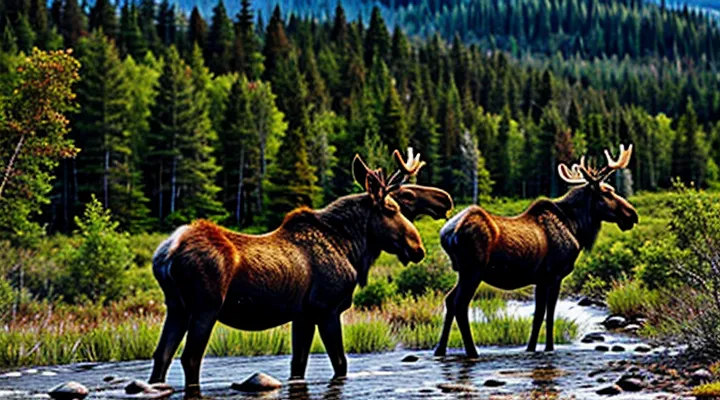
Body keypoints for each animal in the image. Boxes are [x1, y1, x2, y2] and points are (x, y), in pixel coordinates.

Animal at [148, 151, 443, 398]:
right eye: (392, 209)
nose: (417, 248)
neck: (351, 249)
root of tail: (168, 252)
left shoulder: (303, 315)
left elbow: (297, 365)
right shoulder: (327, 309)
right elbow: (340, 363)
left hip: (176, 307)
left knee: (162, 355)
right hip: (205, 307)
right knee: (190, 358)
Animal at [435, 144, 639, 357]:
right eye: (608, 192)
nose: (632, 214)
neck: (576, 228)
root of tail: (448, 234)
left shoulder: (540, 279)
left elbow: (538, 315)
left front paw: (531, 348)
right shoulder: (554, 275)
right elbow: (549, 315)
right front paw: (549, 347)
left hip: (464, 273)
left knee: (449, 300)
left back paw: (440, 350)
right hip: (473, 271)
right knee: (460, 304)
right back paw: (472, 351)